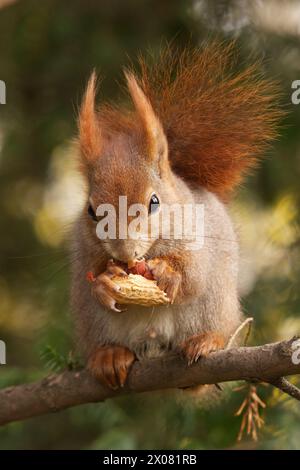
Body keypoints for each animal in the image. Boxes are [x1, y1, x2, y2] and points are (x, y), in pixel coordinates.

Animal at [70, 43, 282, 390]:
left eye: (154, 202)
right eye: (91, 211)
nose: (124, 252)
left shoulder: (198, 244)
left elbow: (192, 275)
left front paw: (168, 273)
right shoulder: (85, 251)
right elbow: (94, 278)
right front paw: (104, 283)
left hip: (215, 305)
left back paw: (205, 341)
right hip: (93, 324)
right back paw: (109, 356)